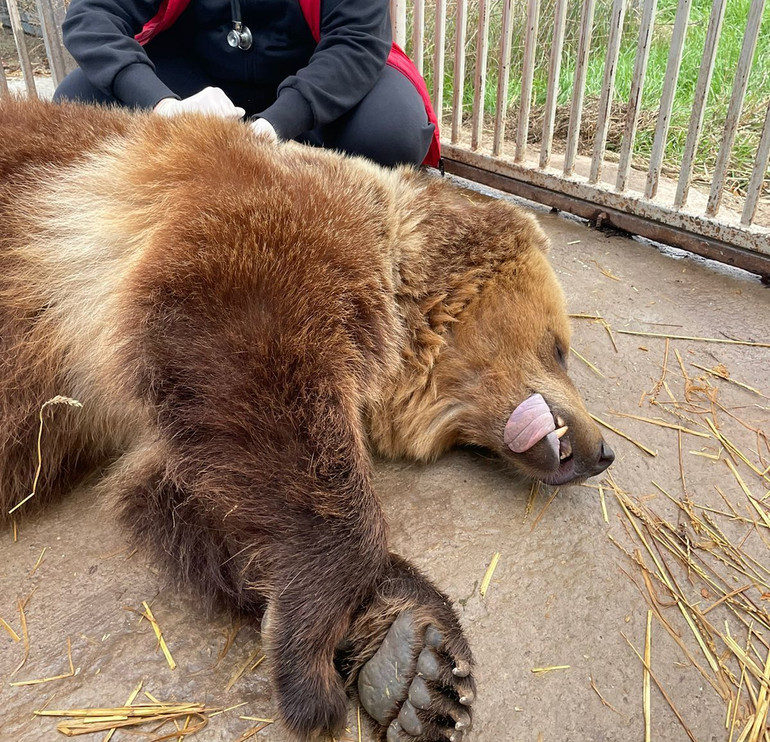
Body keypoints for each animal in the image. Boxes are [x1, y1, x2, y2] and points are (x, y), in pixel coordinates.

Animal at [0, 99, 612, 742]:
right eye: (560, 348)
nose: (604, 452)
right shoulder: (252, 237)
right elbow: (258, 374)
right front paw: (313, 664)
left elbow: (195, 488)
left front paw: (419, 664)